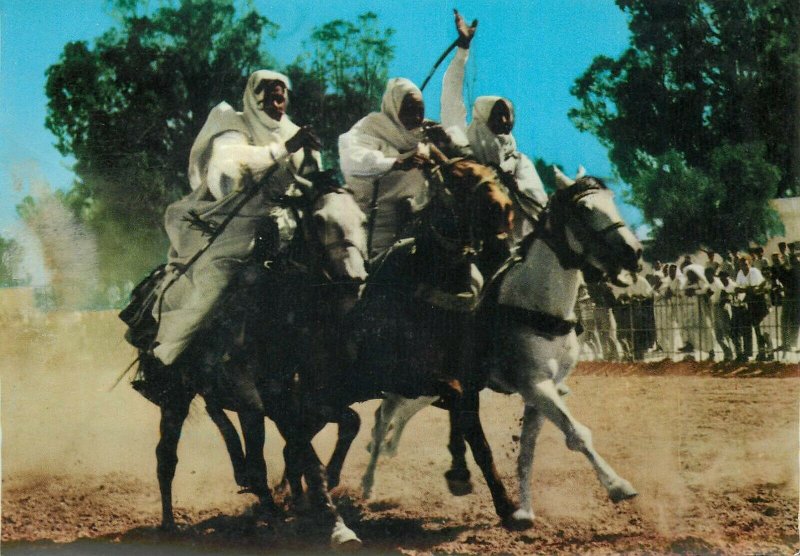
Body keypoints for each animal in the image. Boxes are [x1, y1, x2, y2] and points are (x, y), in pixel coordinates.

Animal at [362, 166, 644, 528]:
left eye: (612, 200)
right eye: (584, 208)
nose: (633, 252)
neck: (535, 304)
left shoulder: (541, 389)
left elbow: (527, 451)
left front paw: (524, 509)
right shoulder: (535, 384)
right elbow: (577, 434)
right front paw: (618, 486)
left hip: (429, 388)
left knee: (400, 414)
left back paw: (387, 451)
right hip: (407, 379)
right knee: (383, 414)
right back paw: (367, 483)